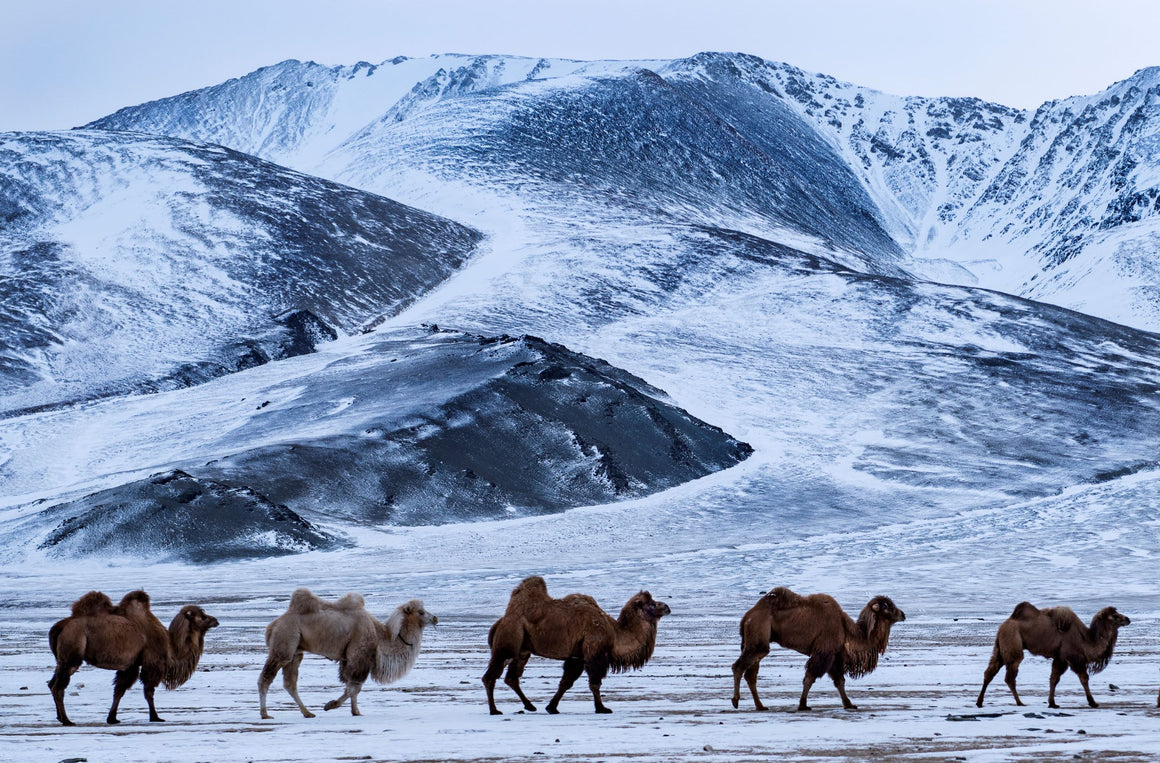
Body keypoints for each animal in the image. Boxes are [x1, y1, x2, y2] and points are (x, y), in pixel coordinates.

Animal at [261, 584, 436, 714]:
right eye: (421, 612)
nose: (435, 618)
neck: (380, 635)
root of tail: (273, 625)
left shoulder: (349, 660)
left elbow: (350, 685)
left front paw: (348, 709)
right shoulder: (359, 656)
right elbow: (354, 687)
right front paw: (338, 707)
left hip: (296, 650)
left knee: (290, 682)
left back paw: (307, 713)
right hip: (285, 640)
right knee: (267, 677)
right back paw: (265, 714)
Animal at [480, 577, 672, 714]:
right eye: (652, 604)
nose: (667, 607)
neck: (615, 633)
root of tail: (500, 622)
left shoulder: (577, 656)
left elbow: (566, 682)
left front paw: (552, 707)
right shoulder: (595, 652)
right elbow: (595, 683)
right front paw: (602, 708)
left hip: (523, 650)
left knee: (512, 677)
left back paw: (530, 706)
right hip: (509, 639)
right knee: (492, 674)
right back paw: (494, 710)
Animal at [728, 584, 909, 709]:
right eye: (888, 608)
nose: (903, 614)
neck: (846, 629)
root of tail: (747, 617)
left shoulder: (835, 656)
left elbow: (839, 681)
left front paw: (849, 704)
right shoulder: (824, 652)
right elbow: (810, 677)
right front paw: (803, 705)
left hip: (757, 641)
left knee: (751, 674)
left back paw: (761, 706)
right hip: (758, 638)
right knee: (739, 666)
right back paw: (735, 701)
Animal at [974, 598, 1127, 705]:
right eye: (1115, 616)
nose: (1128, 619)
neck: (1085, 640)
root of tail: (1004, 624)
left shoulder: (1060, 658)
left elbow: (1054, 678)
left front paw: (1052, 703)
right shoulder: (1073, 656)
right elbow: (1083, 678)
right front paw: (1093, 702)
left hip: (1000, 648)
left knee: (990, 671)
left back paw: (980, 702)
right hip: (1013, 644)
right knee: (1010, 676)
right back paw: (1020, 703)